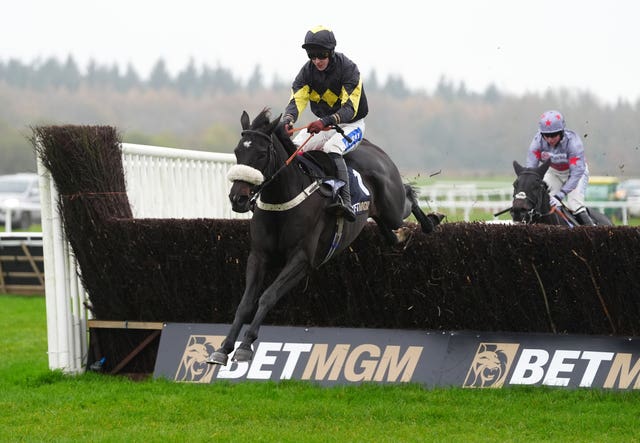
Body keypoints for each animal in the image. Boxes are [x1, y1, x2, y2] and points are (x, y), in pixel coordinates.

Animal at [208, 109, 442, 366]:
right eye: (237, 151)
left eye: (261, 154)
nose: (237, 199)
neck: (282, 200)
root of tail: (372, 148)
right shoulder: (258, 255)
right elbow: (245, 303)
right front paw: (224, 347)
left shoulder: (302, 259)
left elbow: (268, 296)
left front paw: (245, 346)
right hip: (379, 214)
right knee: (389, 231)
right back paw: (399, 236)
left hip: (392, 207)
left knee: (408, 198)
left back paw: (432, 220)